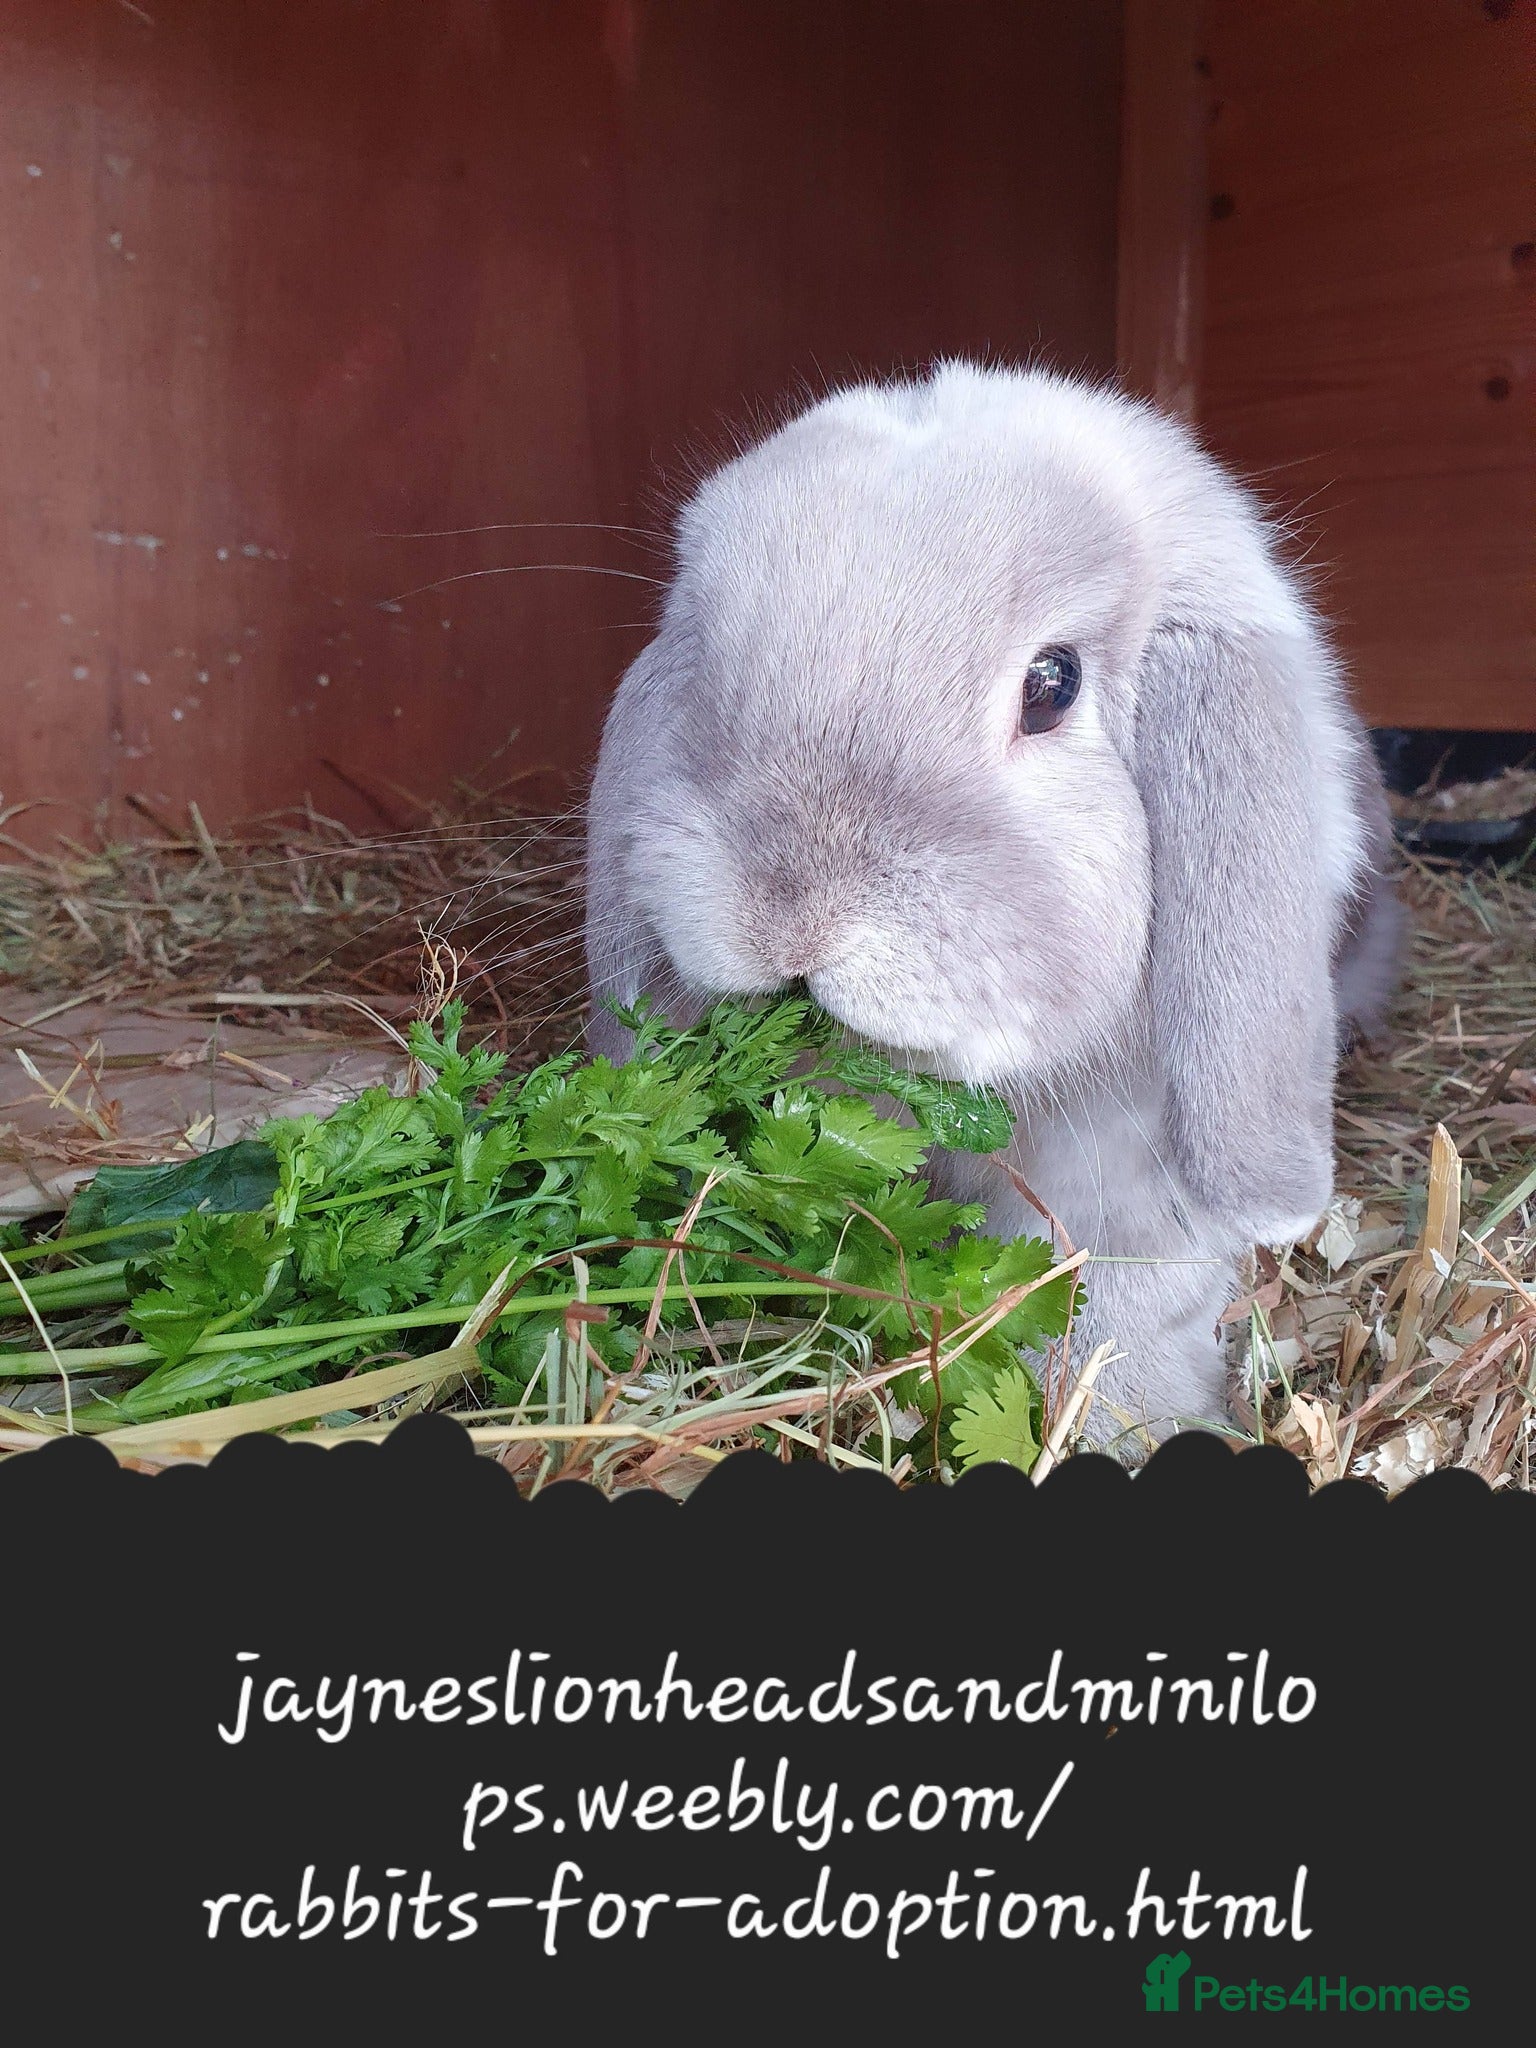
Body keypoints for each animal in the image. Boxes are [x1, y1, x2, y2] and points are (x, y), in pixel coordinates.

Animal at [582, 360, 1403, 1456]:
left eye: (1052, 684)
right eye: (702, 657)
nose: (790, 918)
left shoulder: (1129, 1174)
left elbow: (1117, 1294)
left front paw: (1127, 1423)